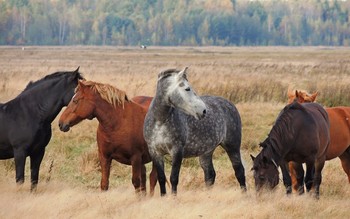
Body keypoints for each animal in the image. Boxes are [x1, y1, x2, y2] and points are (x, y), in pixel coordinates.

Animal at [142, 66, 246, 195]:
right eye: (187, 88)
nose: (203, 110)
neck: (160, 121)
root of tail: (229, 104)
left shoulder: (177, 151)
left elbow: (173, 178)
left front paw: (173, 198)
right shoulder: (155, 152)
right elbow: (161, 179)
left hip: (232, 146)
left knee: (239, 171)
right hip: (207, 152)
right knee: (210, 175)